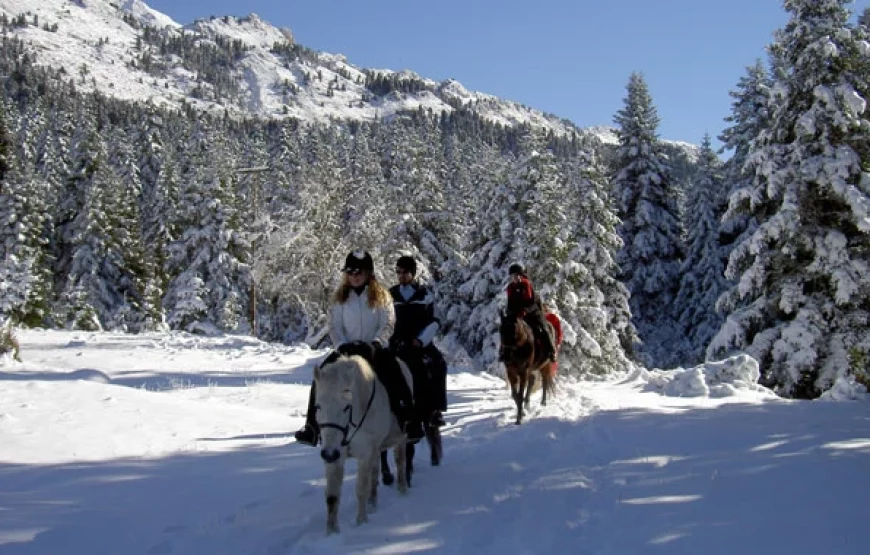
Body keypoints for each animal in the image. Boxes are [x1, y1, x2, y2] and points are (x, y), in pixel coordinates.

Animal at [316, 352, 414, 536]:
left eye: (346, 407)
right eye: (318, 406)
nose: (329, 453)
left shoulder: (364, 455)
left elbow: (361, 489)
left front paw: (361, 522)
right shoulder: (337, 458)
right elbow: (332, 496)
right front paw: (331, 532)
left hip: (401, 439)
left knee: (400, 462)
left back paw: (402, 490)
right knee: (375, 473)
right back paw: (372, 504)